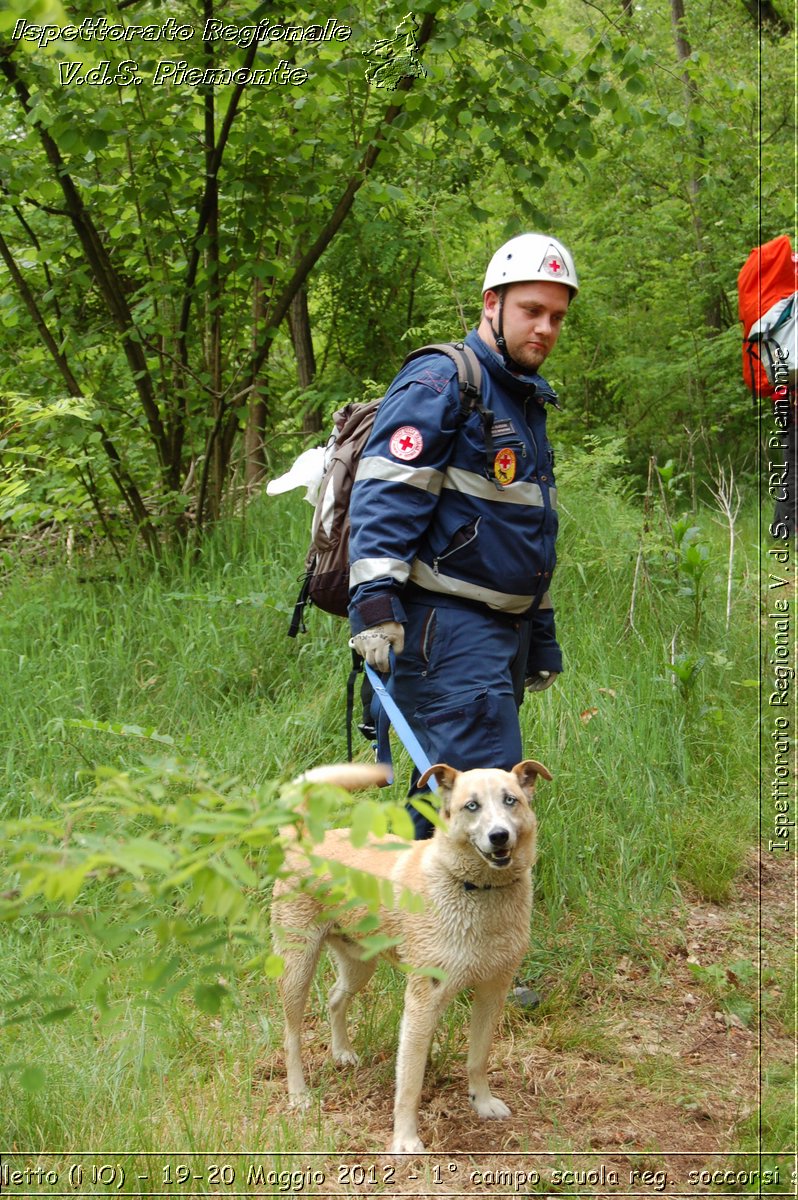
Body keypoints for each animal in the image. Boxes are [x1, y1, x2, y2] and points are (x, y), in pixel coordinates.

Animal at [271, 758, 552, 1152]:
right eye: (472, 805)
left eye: (510, 800)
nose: (499, 836)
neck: (477, 890)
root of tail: (303, 842)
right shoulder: (422, 1000)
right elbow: (409, 1083)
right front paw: (405, 1140)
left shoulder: (492, 991)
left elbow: (478, 1058)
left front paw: (481, 1102)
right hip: (297, 967)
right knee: (291, 1036)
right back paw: (299, 1095)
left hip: (359, 964)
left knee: (335, 999)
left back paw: (342, 1052)